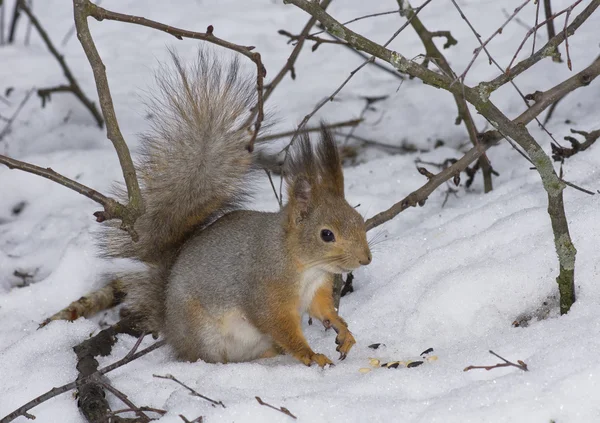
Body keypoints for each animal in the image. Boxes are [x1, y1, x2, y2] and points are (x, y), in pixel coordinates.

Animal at [99, 48, 370, 368]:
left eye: (360, 219)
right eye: (326, 235)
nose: (365, 259)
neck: (304, 264)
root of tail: (171, 329)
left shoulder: (316, 291)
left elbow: (323, 310)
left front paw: (343, 330)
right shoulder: (265, 290)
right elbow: (279, 325)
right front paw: (310, 354)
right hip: (204, 335)